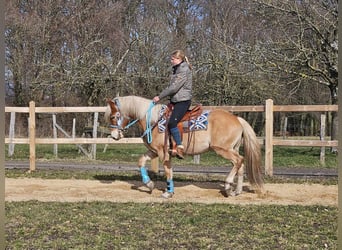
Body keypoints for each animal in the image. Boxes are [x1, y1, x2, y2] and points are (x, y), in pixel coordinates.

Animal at [105, 94, 264, 198]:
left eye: (113, 116)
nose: (114, 136)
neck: (153, 120)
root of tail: (237, 118)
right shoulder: (154, 151)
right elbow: (141, 162)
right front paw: (149, 184)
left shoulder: (163, 153)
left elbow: (168, 171)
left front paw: (168, 192)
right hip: (232, 149)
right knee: (240, 164)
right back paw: (236, 191)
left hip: (223, 149)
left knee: (238, 161)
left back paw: (228, 185)